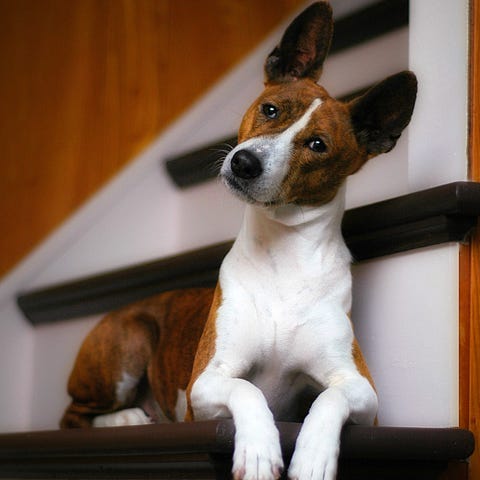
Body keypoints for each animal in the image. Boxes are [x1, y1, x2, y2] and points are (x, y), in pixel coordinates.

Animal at [61, 1, 416, 478]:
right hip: (130, 342)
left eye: (317, 145)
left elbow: (328, 398)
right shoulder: (206, 382)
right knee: (71, 417)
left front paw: (313, 457)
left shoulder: (362, 389)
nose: (244, 163)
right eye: (270, 109)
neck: (284, 255)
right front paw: (260, 450)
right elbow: (249, 391)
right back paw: (127, 418)